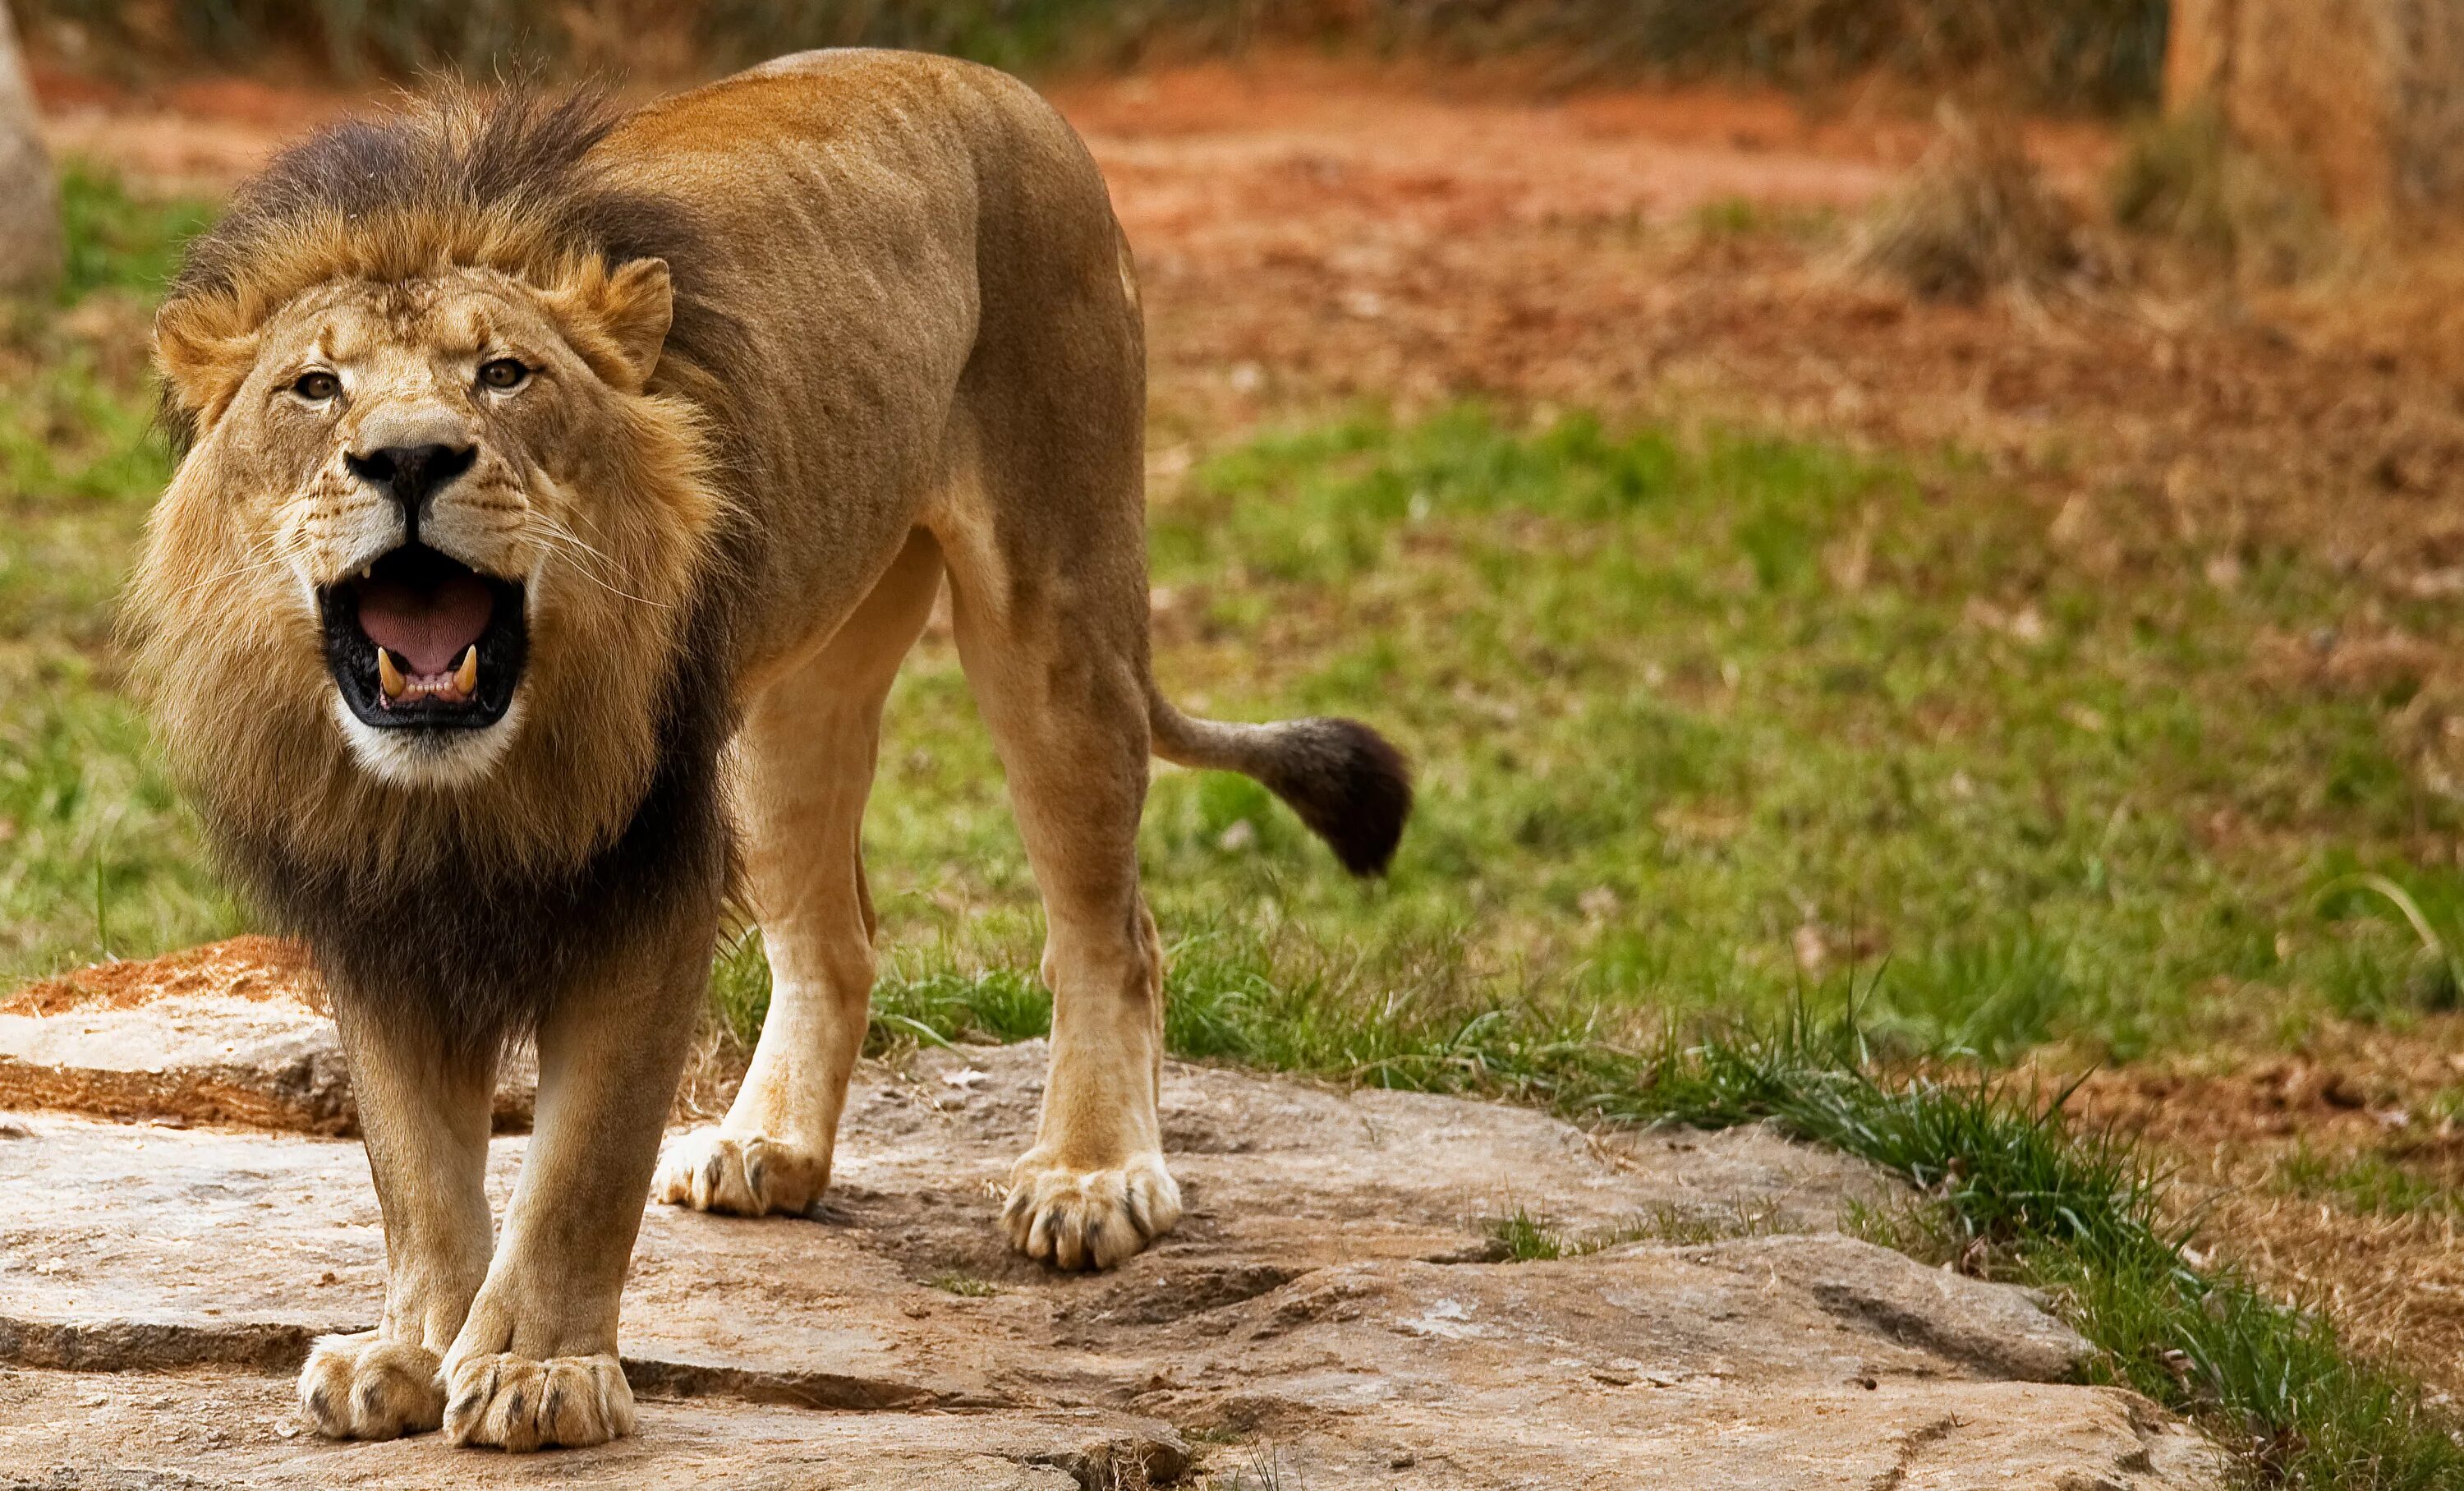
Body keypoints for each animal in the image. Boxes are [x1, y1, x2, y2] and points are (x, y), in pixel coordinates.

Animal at [130, 52, 1409, 1449]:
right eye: (315, 387)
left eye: (506, 374)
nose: (409, 456)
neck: (459, 782)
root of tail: (990, 81)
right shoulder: (372, 895)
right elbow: (414, 1162)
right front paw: (409, 1347)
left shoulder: (647, 875)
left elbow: (580, 1162)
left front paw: (537, 1369)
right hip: (790, 702)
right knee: (836, 935)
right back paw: (770, 1148)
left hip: (1057, 607)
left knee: (1110, 929)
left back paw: (1090, 1175)